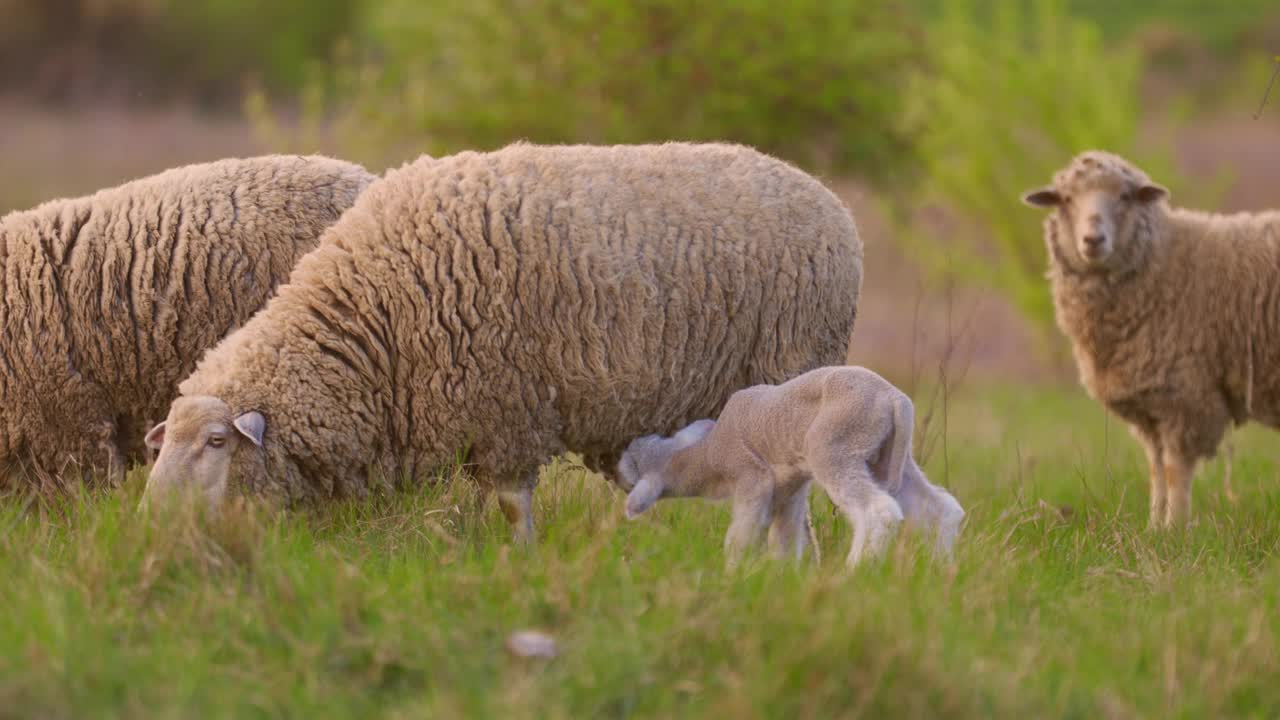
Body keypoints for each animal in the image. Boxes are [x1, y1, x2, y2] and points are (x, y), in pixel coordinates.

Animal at [140, 141, 865, 538]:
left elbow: (515, 512)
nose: (150, 520)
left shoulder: (506, 410)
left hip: (794, 366)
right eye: (163, 439)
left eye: (215, 443)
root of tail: (831, 202)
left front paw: (524, 564)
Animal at [616, 366, 962, 563]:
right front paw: (780, 577)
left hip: (836, 446)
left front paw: (732, 575)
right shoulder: (789, 492)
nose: (622, 451)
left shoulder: (751, 478)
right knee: (941, 508)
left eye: (633, 466)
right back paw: (941, 570)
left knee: (878, 512)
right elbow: (784, 539)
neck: (707, 453)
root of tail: (896, 400)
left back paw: (854, 572)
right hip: (887, 457)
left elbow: (740, 536)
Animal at [1024, 148, 1280, 525]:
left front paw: (1176, 528)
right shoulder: (1151, 402)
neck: (1162, 261)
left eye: (1125, 196)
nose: (1093, 240)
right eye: (1066, 198)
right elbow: (1155, 468)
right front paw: (1155, 526)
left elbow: (1175, 470)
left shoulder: (1185, 394)